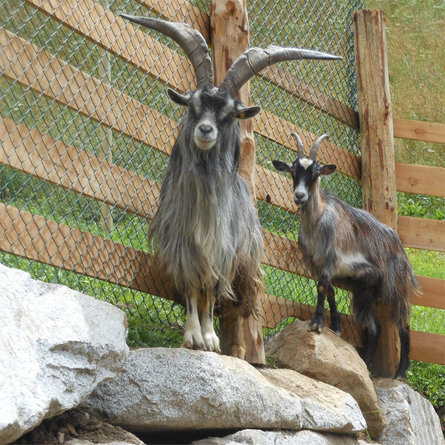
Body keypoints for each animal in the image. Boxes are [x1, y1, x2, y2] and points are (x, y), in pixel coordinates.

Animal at [119, 13, 338, 360]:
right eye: (192, 105)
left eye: (230, 113)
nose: (206, 130)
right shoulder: (183, 248)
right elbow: (193, 291)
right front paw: (193, 337)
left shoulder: (221, 250)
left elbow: (209, 292)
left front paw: (209, 339)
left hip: (246, 267)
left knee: (236, 307)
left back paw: (237, 349)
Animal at [270, 133, 420, 378]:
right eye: (293, 171)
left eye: (315, 173)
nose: (299, 196)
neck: (317, 221)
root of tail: (400, 248)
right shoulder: (316, 264)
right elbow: (329, 290)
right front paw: (336, 327)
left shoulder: (331, 260)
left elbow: (322, 286)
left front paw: (316, 323)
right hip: (364, 291)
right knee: (375, 327)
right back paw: (366, 365)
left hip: (397, 287)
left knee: (403, 325)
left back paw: (399, 372)